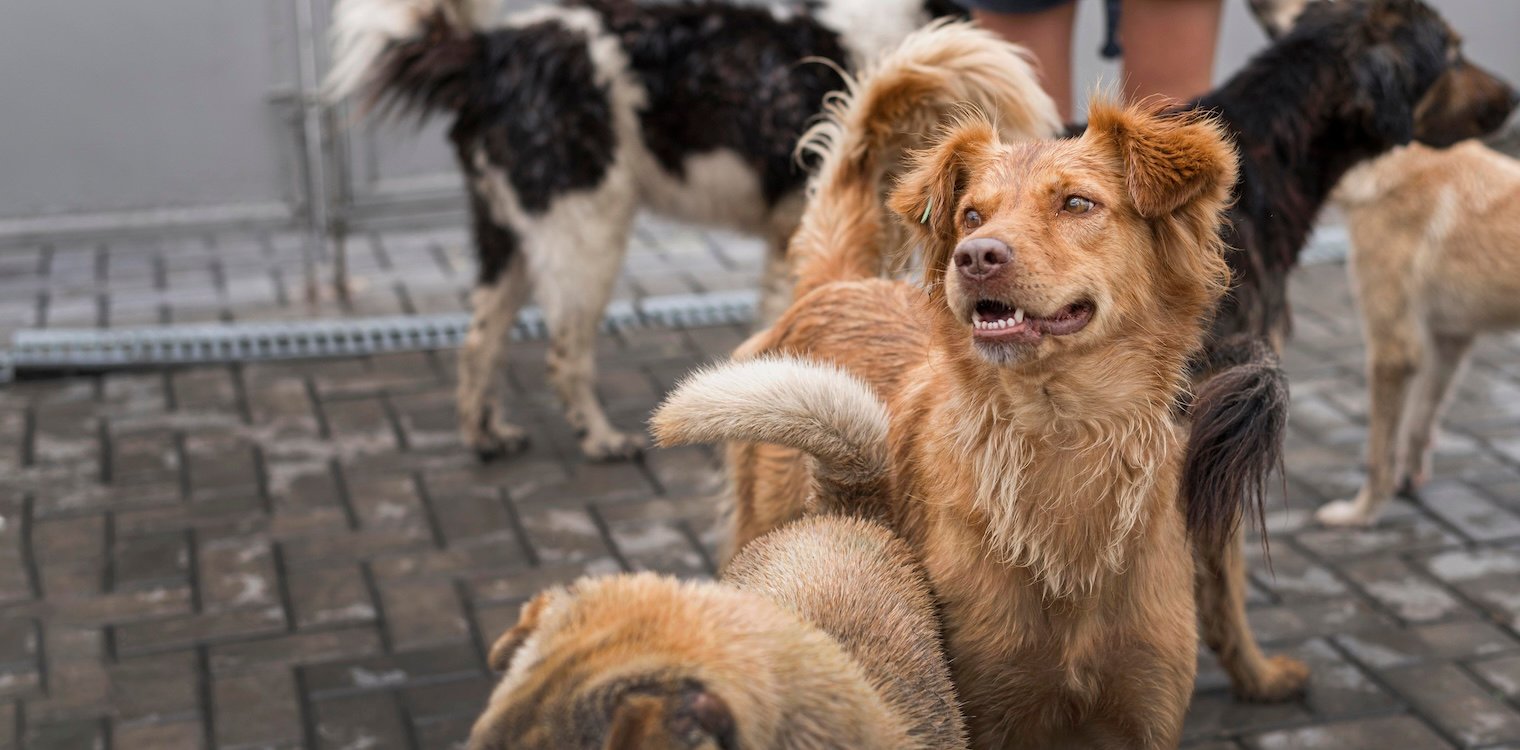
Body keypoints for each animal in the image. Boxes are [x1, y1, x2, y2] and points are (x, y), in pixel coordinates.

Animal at [328, 0, 1057, 459]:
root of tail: (489, 52)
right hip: (585, 230)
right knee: (565, 350)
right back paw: (600, 440)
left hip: (507, 234)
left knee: (479, 340)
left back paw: (486, 437)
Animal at [653, 24, 1295, 748]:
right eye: (970, 214)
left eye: (1078, 203)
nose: (976, 256)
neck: (1060, 437)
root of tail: (837, 283)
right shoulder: (980, 706)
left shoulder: (1144, 712)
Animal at [1307, 141, 1520, 526]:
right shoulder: (1448, 340)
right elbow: (1419, 423)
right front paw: (1407, 481)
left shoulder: (1392, 350)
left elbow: (1378, 456)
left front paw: (1360, 514)